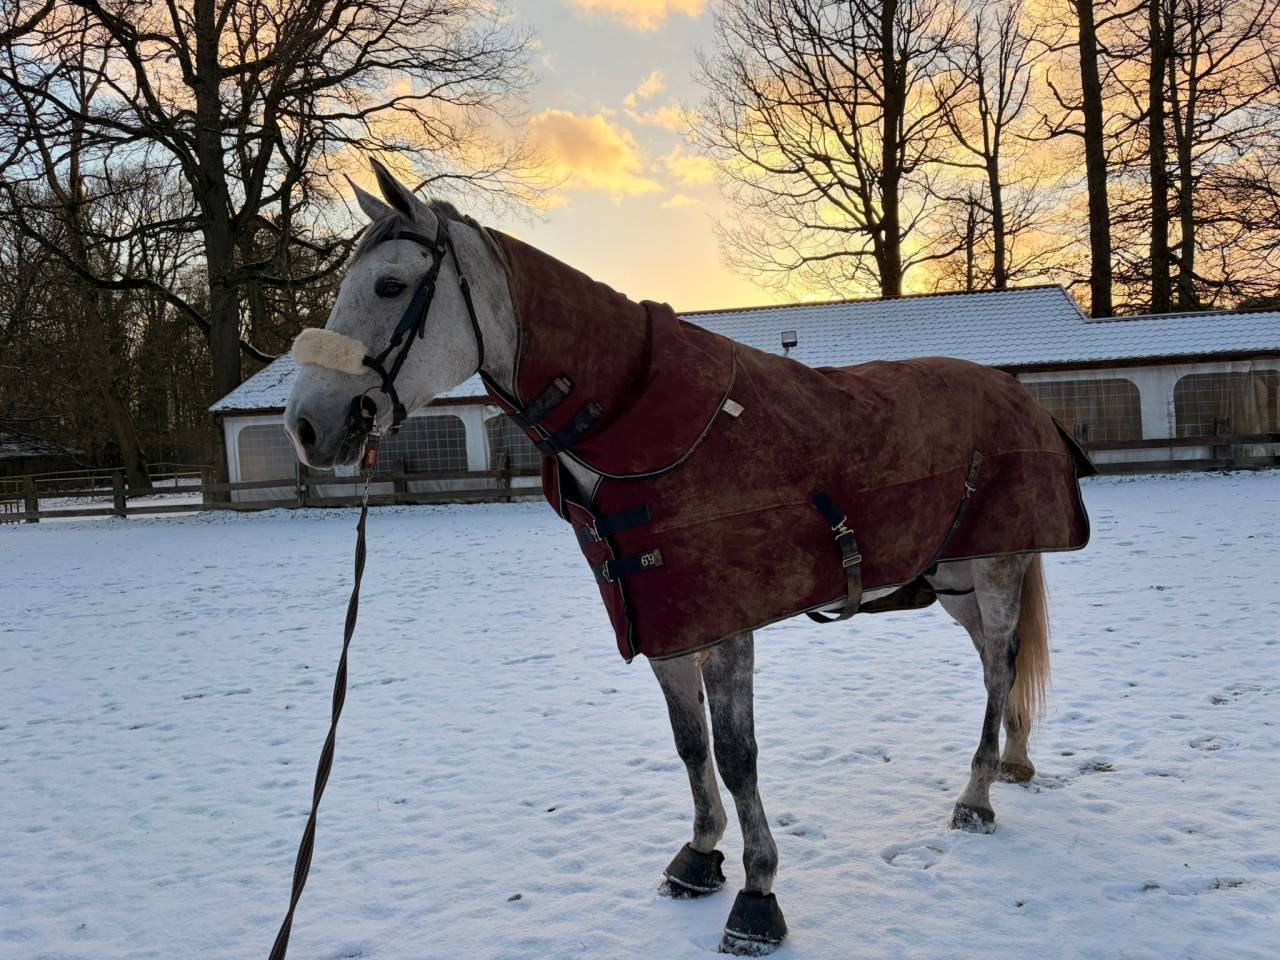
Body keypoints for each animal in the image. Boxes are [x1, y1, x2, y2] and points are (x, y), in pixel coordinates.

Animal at [283, 160, 1088, 954]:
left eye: (390, 286)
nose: (308, 425)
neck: (638, 428)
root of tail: (1021, 399)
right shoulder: (667, 621)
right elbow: (690, 745)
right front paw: (701, 856)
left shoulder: (725, 627)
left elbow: (735, 755)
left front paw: (758, 893)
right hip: (954, 579)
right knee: (999, 660)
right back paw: (1011, 764)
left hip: (997, 566)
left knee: (999, 666)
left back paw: (977, 796)